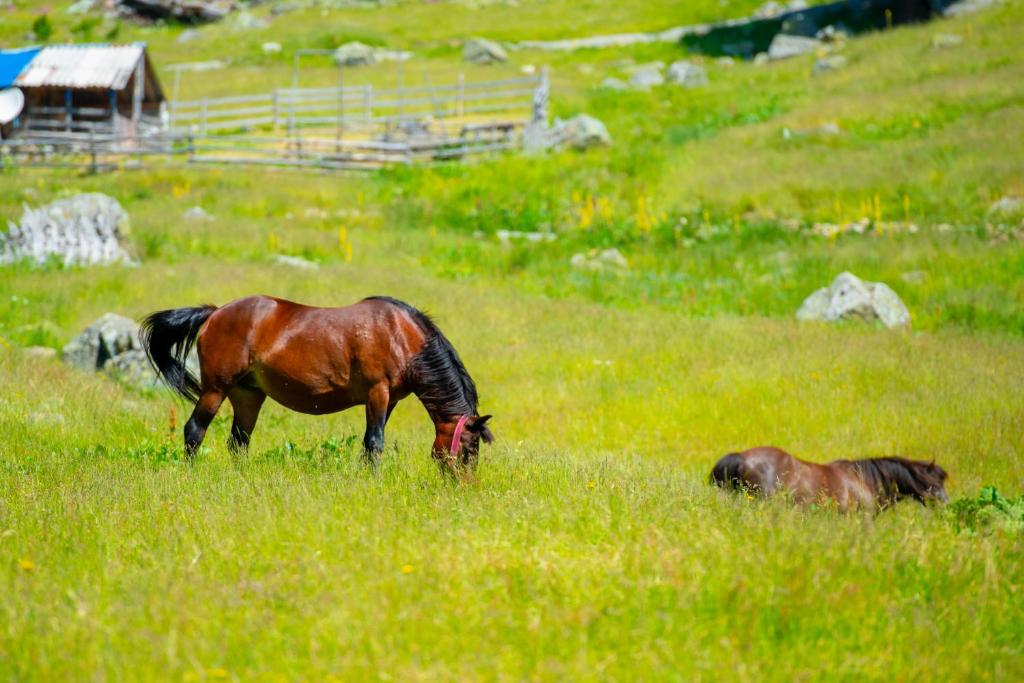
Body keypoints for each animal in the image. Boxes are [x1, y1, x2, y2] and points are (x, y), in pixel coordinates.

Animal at [140, 295, 493, 477]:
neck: (401, 335)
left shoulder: (389, 399)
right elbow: (375, 442)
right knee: (194, 430)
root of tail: (215, 313)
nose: (463, 485)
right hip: (216, 389)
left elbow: (369, 442)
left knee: (238, 440)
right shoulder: (377, 392)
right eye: (468, 450)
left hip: (248, 394)